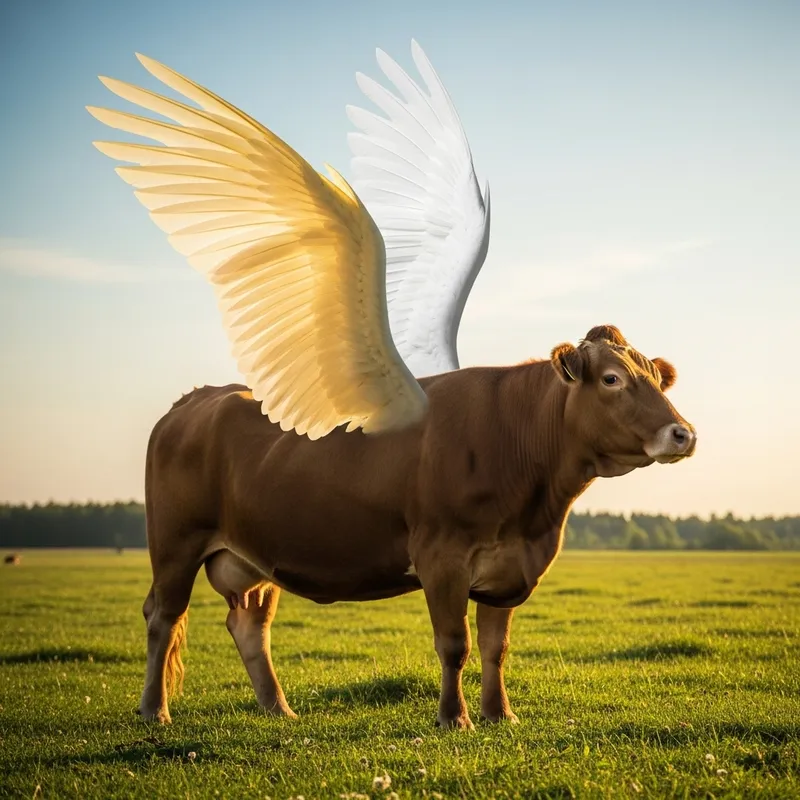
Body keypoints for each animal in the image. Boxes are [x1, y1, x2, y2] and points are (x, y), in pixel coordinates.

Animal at [140, 324, 696, 728]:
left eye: (654, 377)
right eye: (611, 379)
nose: (683, 433)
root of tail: (197, 398)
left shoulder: (510, 565)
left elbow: (495, 649)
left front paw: (500, 715)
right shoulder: (442, 556)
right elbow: (455, 644)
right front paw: (455, 719)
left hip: (254, 556)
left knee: (250, 627)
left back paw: (278, 709)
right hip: (175, 545)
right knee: (163, 619)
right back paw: (155, 710)